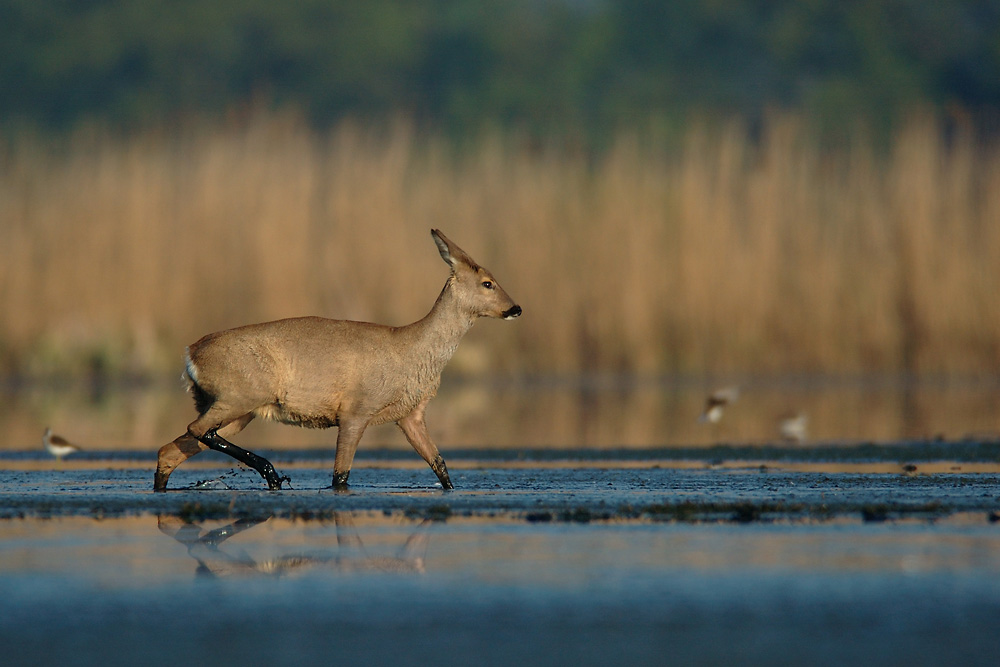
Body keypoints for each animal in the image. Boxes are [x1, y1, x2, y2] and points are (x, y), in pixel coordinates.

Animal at [154, 230, 524, 490]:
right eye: (487, 283)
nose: (516, 308)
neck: (412, 347)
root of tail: (190, 353)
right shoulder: (355, 412)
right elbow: (340, 476)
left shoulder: (411, 416)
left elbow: (441, 466)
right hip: (239, 396)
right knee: (196, 431)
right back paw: (272, 474)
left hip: (237, 408)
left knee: (170, 450)